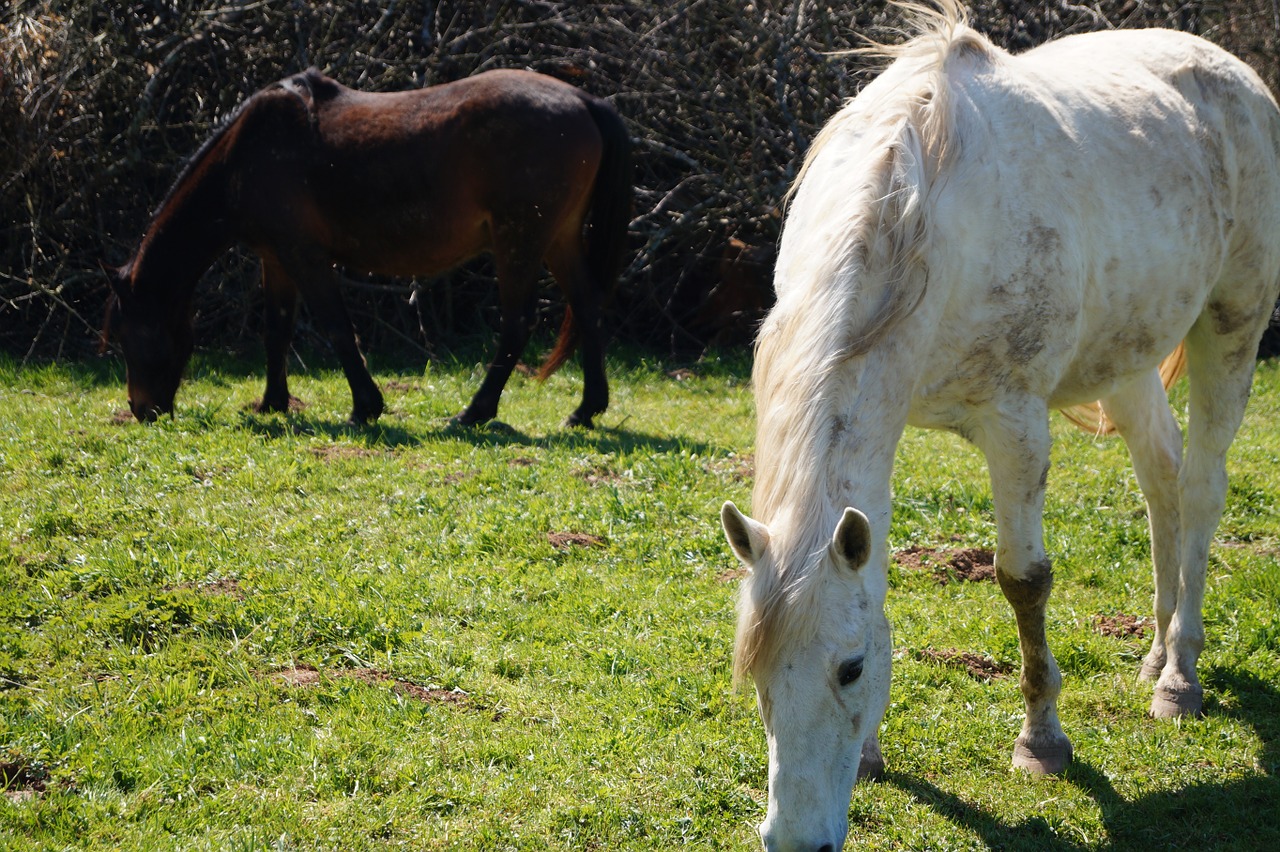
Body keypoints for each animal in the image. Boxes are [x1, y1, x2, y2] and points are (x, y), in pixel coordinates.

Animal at [106, 68, 634, 424]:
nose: (142, 409)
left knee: (517, 324)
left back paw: (475, 412)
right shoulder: (276, 258)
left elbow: (339, 328)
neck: (245, 155)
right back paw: (586, 409)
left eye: (130, 336)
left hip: (519, 242)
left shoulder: (305, 256)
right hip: (558, 239)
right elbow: (276, 331)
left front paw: (366, 406)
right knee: (587, 307)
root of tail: (584, 100)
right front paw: (273, 403)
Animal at [721, 3, 1280, 844]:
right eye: (754, 672)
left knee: (1203, 487)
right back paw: (1153, 653)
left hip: (1232, 325)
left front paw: (1042, 741)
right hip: (1128, 360)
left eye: (850, 667)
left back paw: (1178, 677)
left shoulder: (1015, 426)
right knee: (1163, 479)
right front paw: (874, 754)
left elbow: (1024, 581)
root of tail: (1232, 73)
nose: (794, 841)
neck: (918, 216)